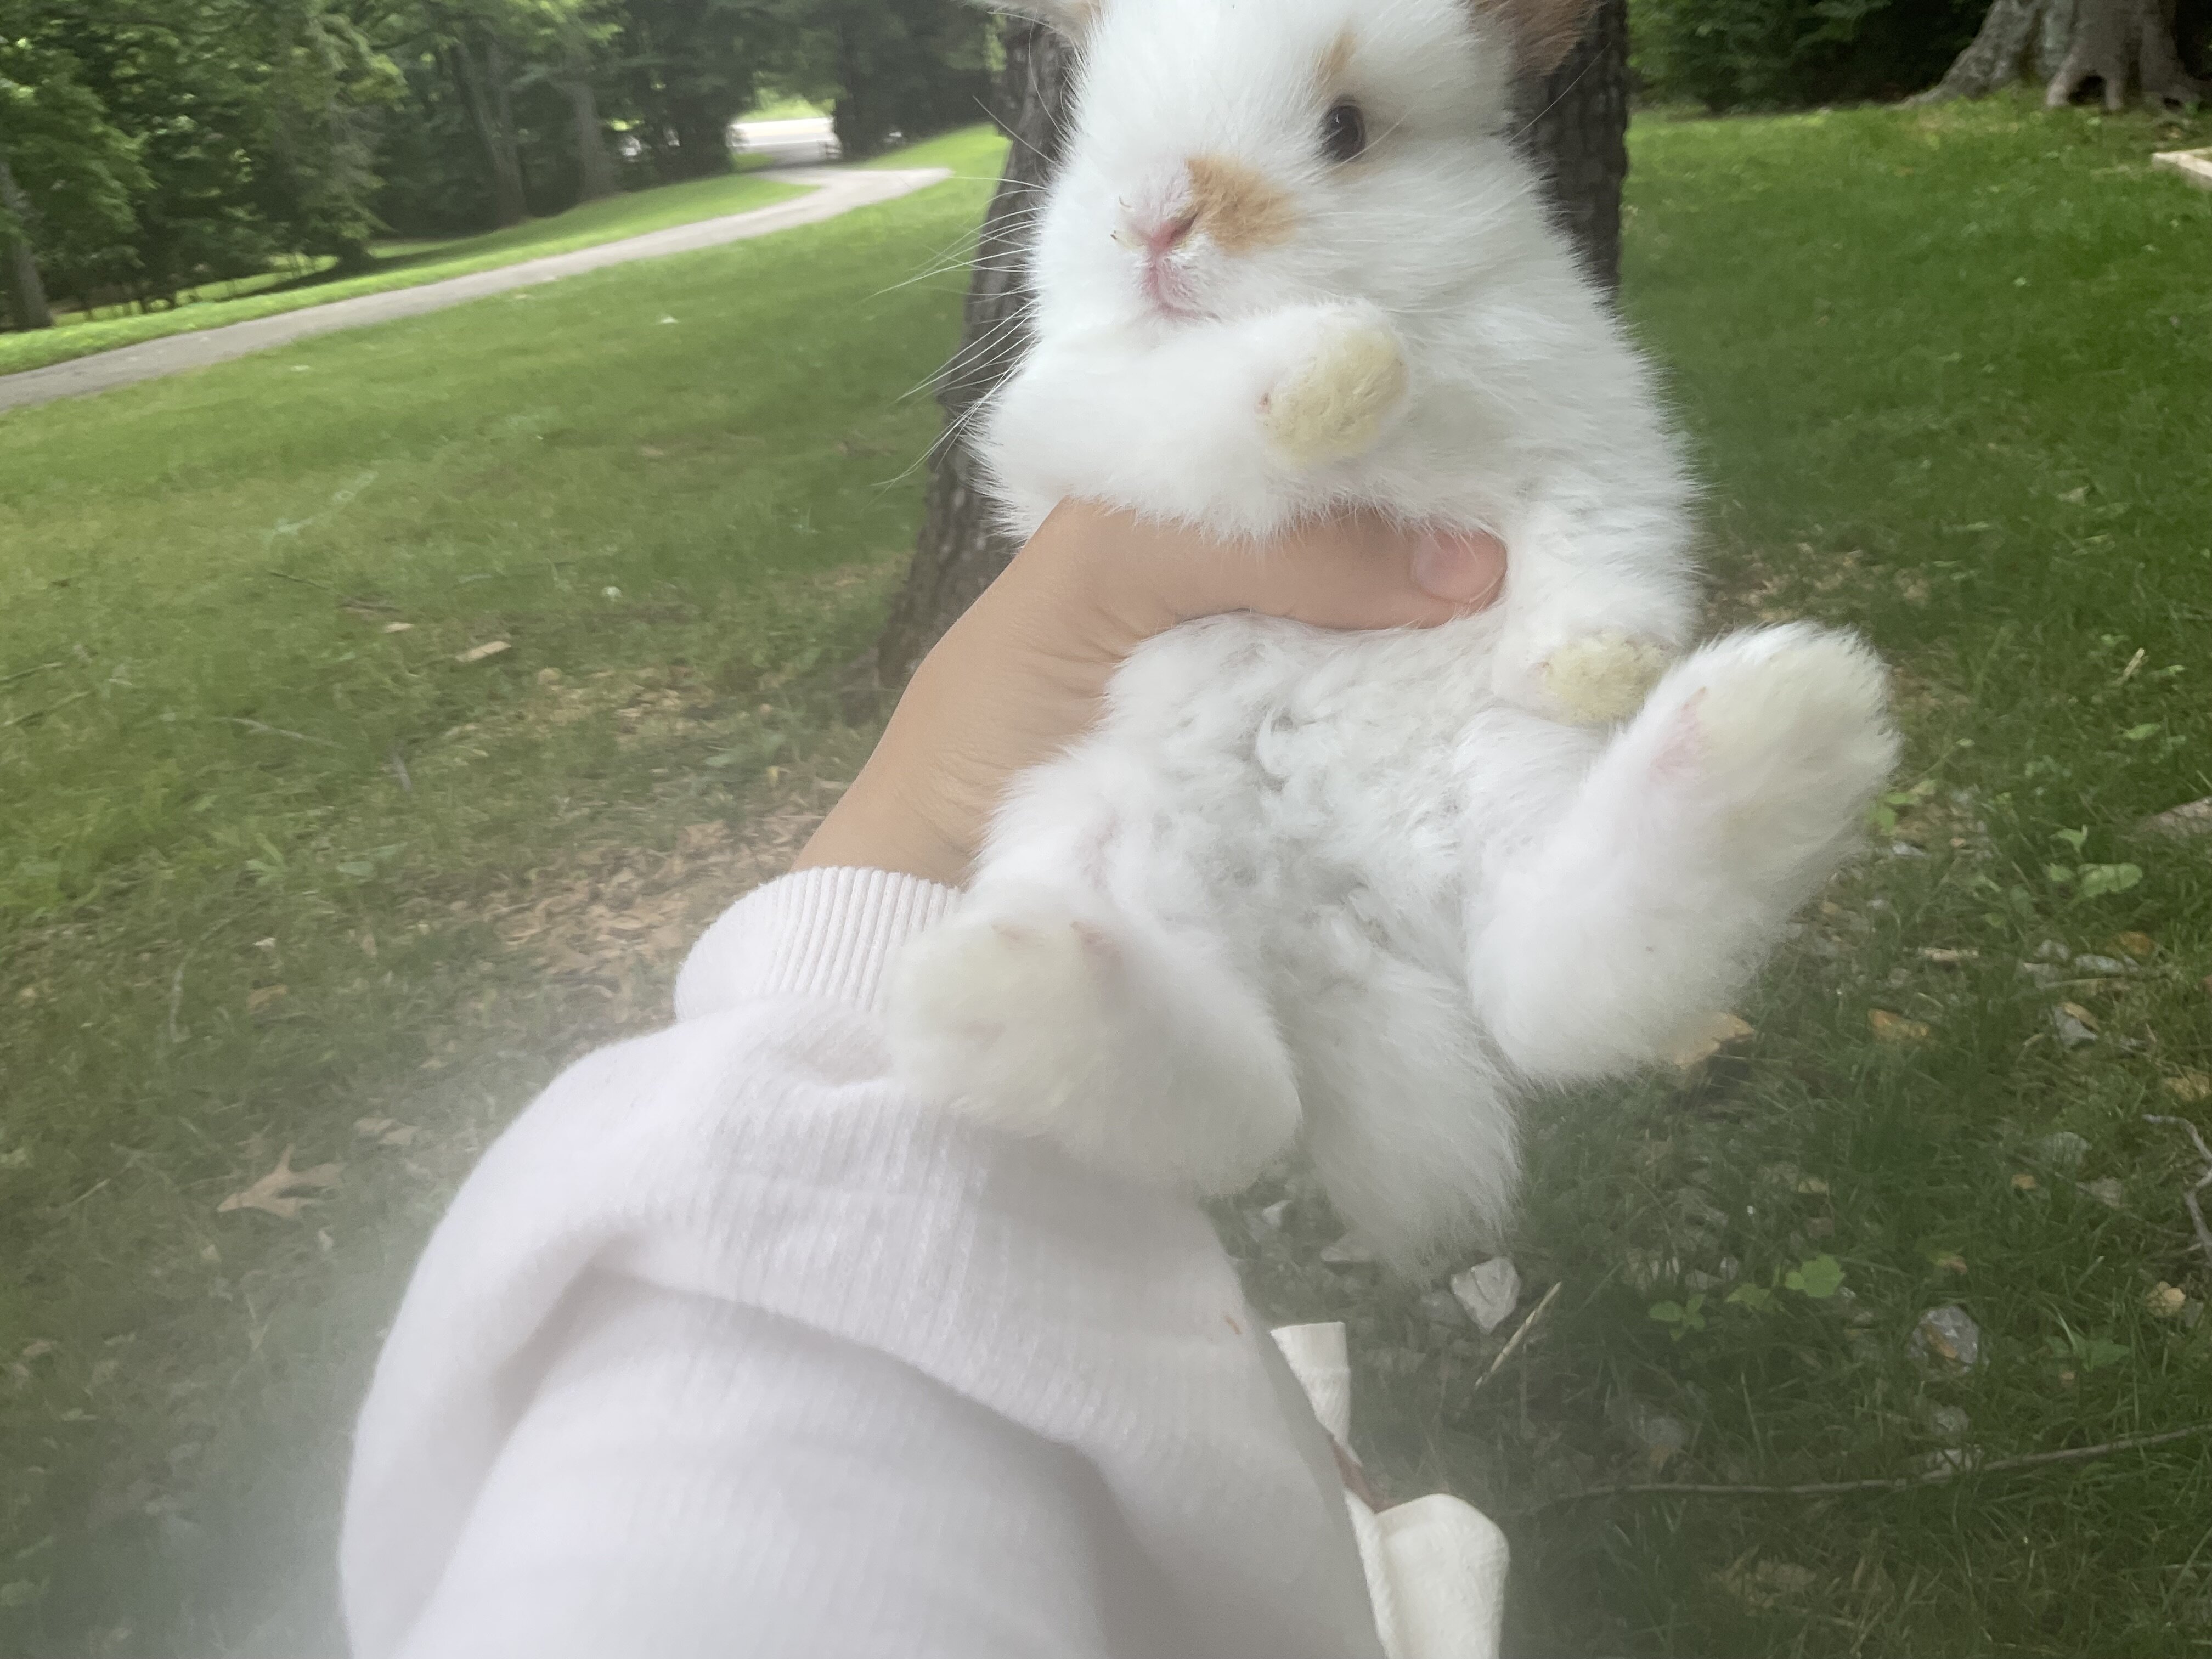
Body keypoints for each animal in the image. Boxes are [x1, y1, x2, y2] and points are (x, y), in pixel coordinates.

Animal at [886, 0, 1899, 1271]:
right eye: (1089, 124)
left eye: (1347, 128)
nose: (1152, 220)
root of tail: (1335, 917)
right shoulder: (1076, 423)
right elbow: (1200, 399)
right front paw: (1342, 365)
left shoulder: (1594, 416)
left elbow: (1606, 533)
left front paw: (1600, 666)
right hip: (1087, 818)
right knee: (1248, 1110)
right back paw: (1003, 985)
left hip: (1501, 784)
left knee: (1544, 999)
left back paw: (1784, 721)